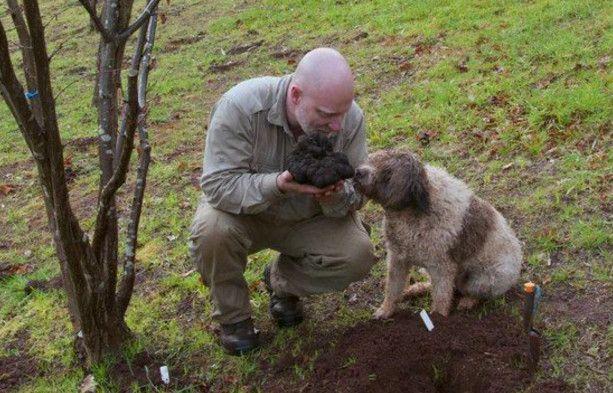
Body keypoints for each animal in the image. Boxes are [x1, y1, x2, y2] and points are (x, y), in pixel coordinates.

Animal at [354, 150, 520, 318]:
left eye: (388, 172)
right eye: (373, 158)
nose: (357, 172)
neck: (414, 211)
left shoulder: (442, 267)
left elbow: (441, 298)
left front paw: (438, 318)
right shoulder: (397, 259)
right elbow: (393, 290)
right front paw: (385, 311)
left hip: (484, 280)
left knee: (473, 292)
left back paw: (467, 301)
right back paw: (415, 289)